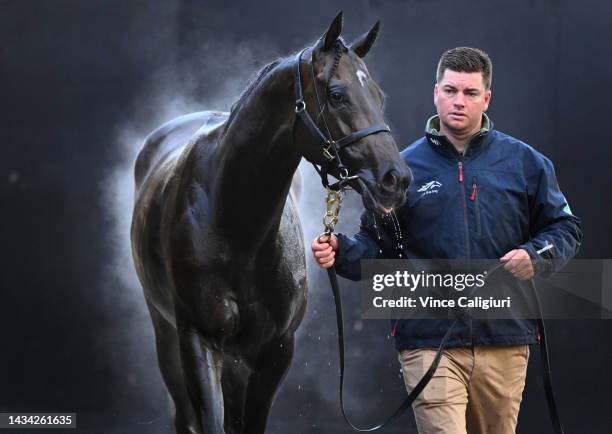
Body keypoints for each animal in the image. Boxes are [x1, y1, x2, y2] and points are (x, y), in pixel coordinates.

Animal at [132, 13, 414, 434]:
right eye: (336, 94)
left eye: (378, 96)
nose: (395, 179)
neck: (238, 229)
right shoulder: (198, 340)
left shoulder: (276, 351)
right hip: (166, 336)